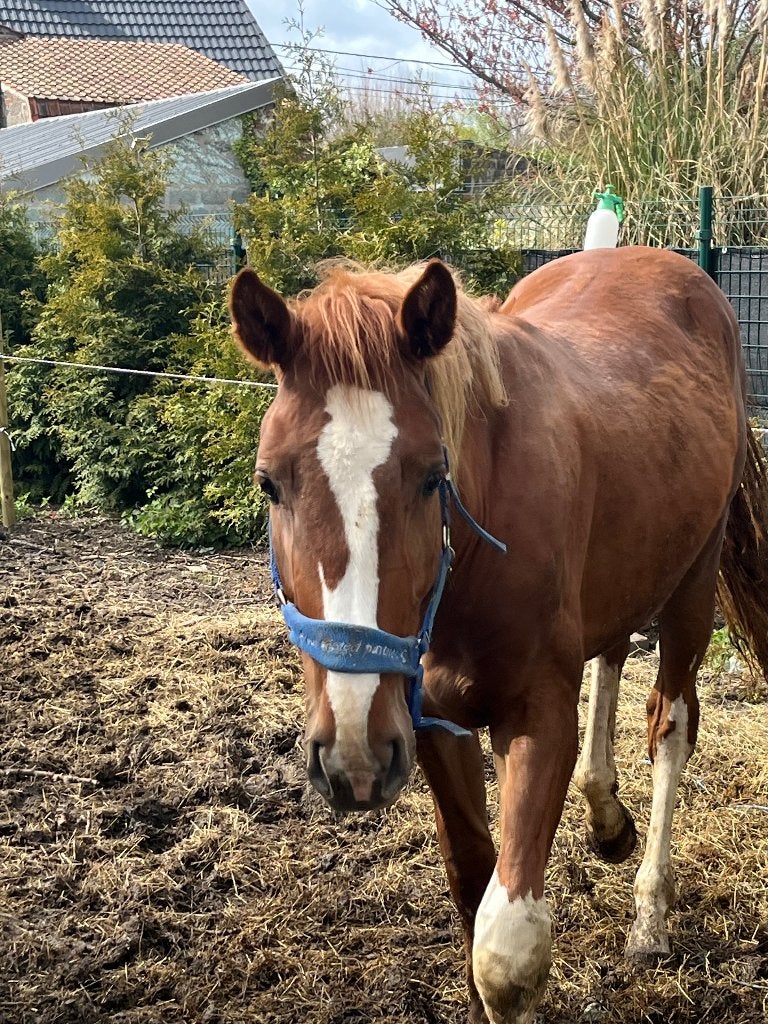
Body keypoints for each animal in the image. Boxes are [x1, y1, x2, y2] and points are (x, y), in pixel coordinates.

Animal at [229, 247, 768, 1024]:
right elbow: (470, 884)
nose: (353, 753)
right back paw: (607, 818)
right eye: (270, 482)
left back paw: (649, 916)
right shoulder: (428, 724)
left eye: (432, 475)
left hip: (692, 585)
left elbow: (505, 953)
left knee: (670, 725)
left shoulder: (536, 717)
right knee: (610, 657)